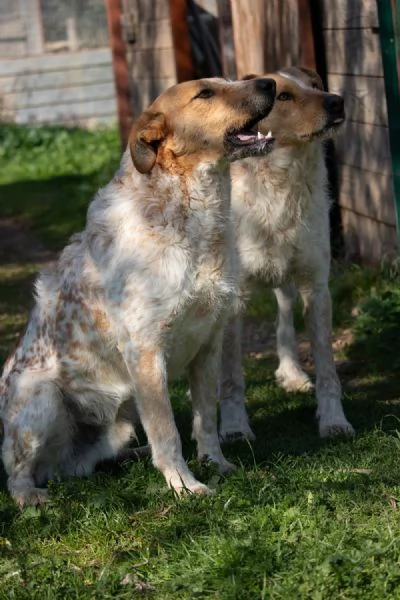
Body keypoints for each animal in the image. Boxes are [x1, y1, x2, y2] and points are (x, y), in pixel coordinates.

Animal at [0, 76, 276, 506]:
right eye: (205, 93)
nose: (270, 82)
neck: (195, 215)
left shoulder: (208, 344)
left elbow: (205, 420)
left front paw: (214, 464)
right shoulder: (146, 352)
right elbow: (168, 432)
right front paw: (185, 485)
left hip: (122, 421)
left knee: (88, 464)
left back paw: (133, 456)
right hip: (42, 401)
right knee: (18, 473)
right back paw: (31, 495)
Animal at [219, 67, 354, 440]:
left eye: (317, 85)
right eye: (283, 96)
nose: (337, 101)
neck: (283, 180)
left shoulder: (316, 286)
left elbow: (327, 368)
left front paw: (334, 420)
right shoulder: (233, 298)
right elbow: (231, 376)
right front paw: (234, 428)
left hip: (286, 278)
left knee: (283, 319)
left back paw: (291, 373)